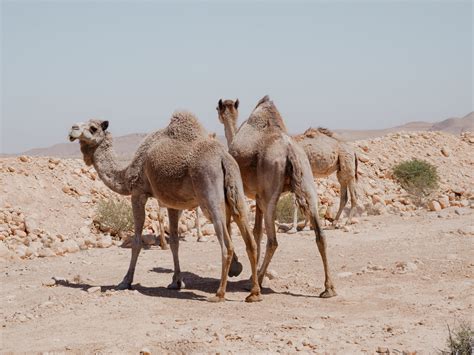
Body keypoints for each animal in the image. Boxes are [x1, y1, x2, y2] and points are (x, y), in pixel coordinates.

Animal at [69, 114, 262, 304]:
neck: (127, 173)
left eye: (93, 128)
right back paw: (254, 293)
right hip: (236, 189)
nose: (72, 129)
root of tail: (223, 157)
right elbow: (175, 242)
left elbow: (137, 242)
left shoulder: (138, 193)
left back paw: (220, 293)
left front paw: (125, 281)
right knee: (249, 238)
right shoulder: (172, 204)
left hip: (209, 191)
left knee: (226, 245)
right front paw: (176, 282)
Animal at [217, 96, 336, 298]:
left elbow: (249, 230)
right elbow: (256, 232)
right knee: (320, 234)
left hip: (270, 188)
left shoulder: (252, 194)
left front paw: (240, 270)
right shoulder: (258, 196)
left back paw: (257, 281)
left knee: (272, 240)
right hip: (307, 179)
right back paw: (329, 289)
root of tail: (290, 150)